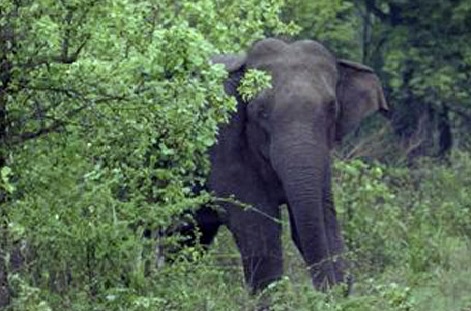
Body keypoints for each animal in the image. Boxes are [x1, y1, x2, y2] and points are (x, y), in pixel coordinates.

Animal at [181, 37, 388, 294]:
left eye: (332, 108)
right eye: (260, 111)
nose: (334, 289)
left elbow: (322, 217)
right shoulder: (220, 142)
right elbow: (258, 227)